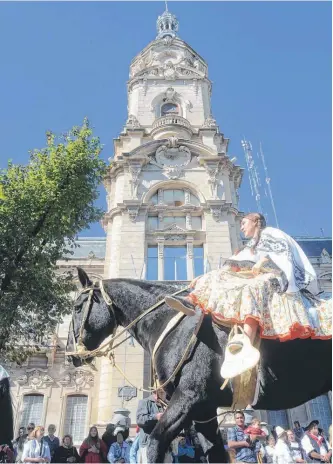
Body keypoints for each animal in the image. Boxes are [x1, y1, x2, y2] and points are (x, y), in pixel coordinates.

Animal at [66, 268, 330, 464]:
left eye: (77, 306)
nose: (70, 355)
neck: (174, 323)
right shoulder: (204, 411)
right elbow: (215, 454)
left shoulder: (188, 399)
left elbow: (155, 445)